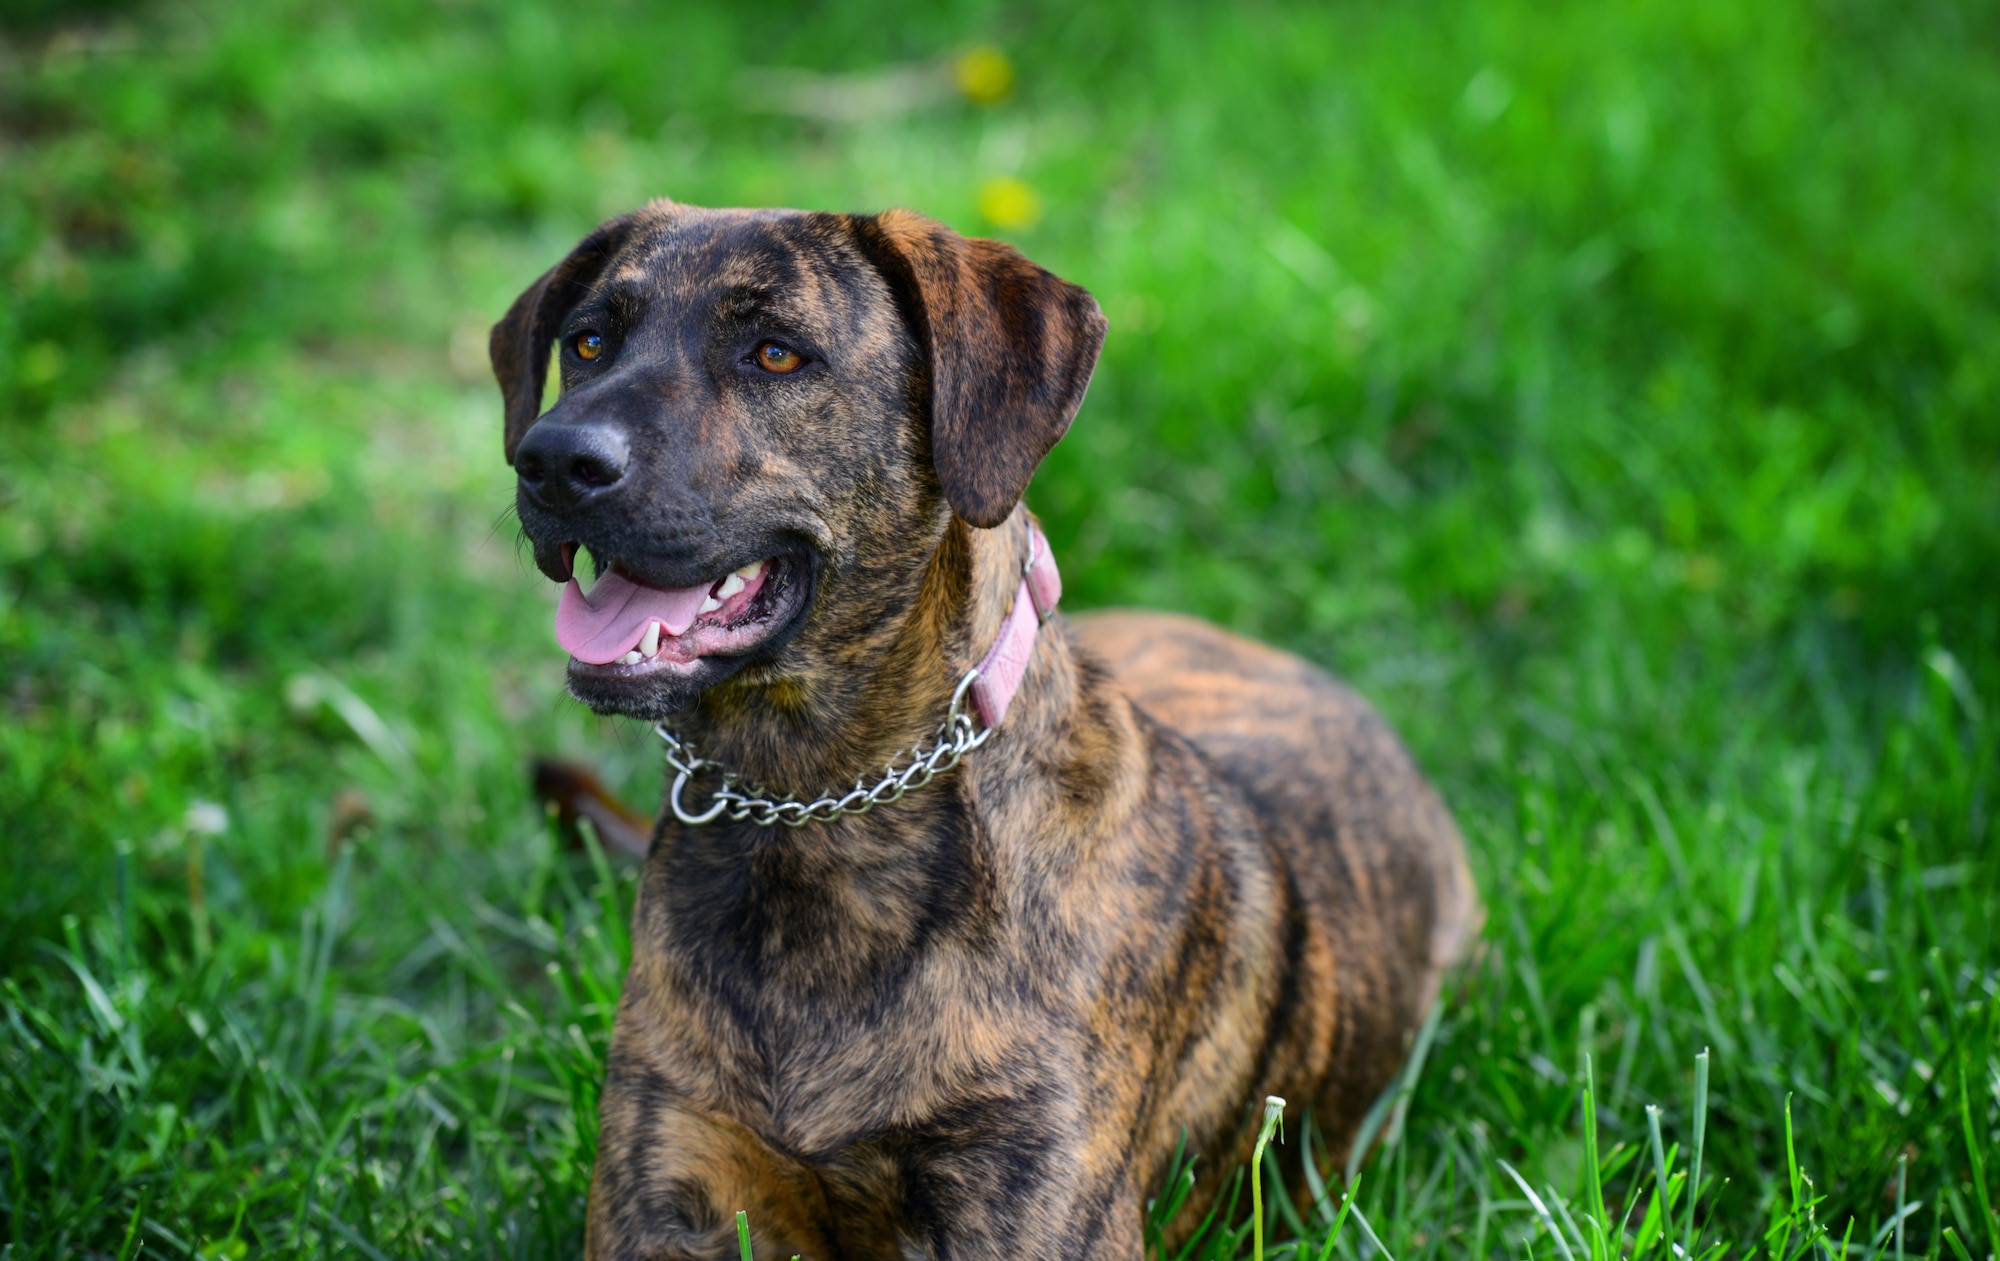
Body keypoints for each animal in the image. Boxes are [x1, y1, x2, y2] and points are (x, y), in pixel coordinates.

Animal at [492, 202, 1480, 1256]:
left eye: (775, 354)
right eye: (588, 342)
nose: (552, 460)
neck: (816, 819)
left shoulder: (1024, 1196)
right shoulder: (668, 1174)